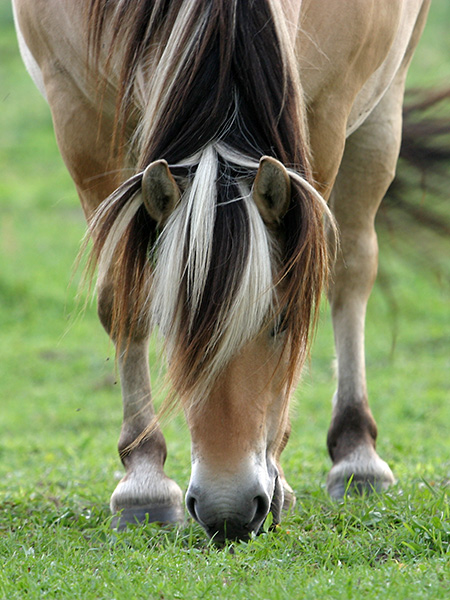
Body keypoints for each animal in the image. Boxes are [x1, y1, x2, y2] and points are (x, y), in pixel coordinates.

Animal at [12, 0, 430, 540]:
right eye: (171, 326)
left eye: (282, 323)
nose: (228, 511)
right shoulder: (78, 109)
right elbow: (121, 297)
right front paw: (143, 483)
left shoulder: (325, 109)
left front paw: (281, 481)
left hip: (382, 107)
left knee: (351, 270)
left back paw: (357, 457)